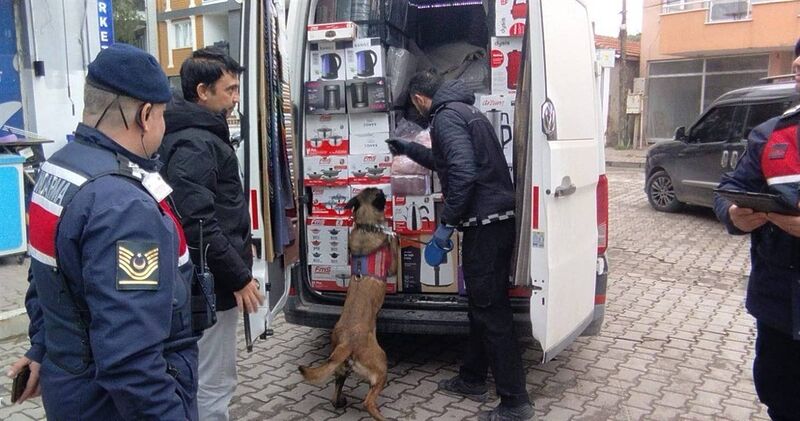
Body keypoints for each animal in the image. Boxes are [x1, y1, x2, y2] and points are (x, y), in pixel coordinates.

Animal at [298, 188, 398, 420]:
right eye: (380, 194)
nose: (385, 190)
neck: (365, 226)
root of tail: (347, 343)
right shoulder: (391, 267)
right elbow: (393, 242)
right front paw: (393, 232)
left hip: (340, 368)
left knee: (335, 395)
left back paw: (341, 400)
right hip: (381, 364)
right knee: (368, 402)